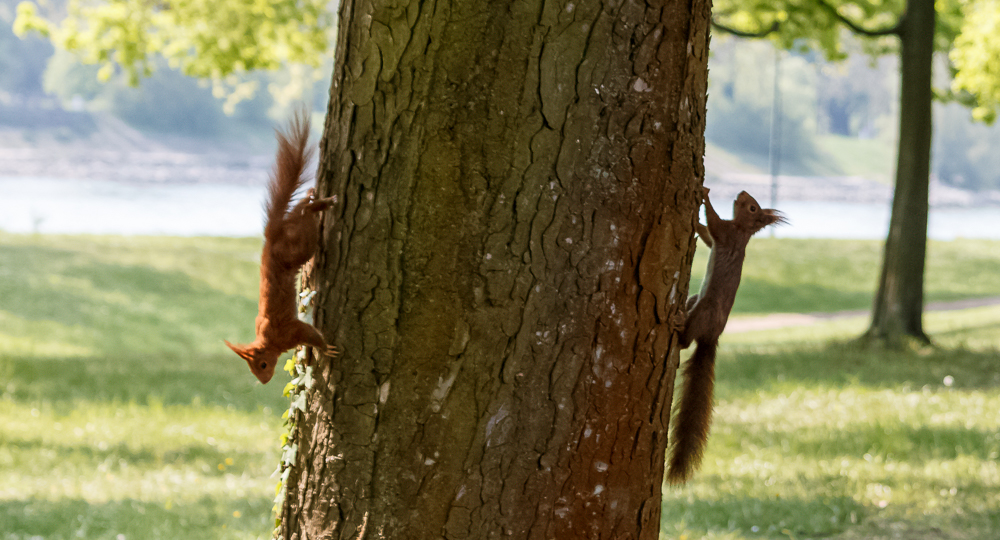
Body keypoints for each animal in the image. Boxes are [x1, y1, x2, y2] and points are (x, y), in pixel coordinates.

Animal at [225, 113, 338, 384]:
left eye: (263, 365)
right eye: (254, 369)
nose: (264, 381)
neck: (268, 340)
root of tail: (271, 235)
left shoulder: (290, 331)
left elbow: (310, 334)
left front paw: (325, 348)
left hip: (299, 246)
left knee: (305, 214)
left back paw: (320, 203)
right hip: (297, 237)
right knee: (298, 210)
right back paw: (311, 196)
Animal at [668, 189, 784, 486]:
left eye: (753, 207)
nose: (740, 192)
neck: (741, 229)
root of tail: (712, 337)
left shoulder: (726, 233)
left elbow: (714, 225)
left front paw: (705, 199)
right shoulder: (723, 237)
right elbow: (708, 237)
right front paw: (697, 219)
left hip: (704, 312)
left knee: (687, 341)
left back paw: (679, 328)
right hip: (696, 301)